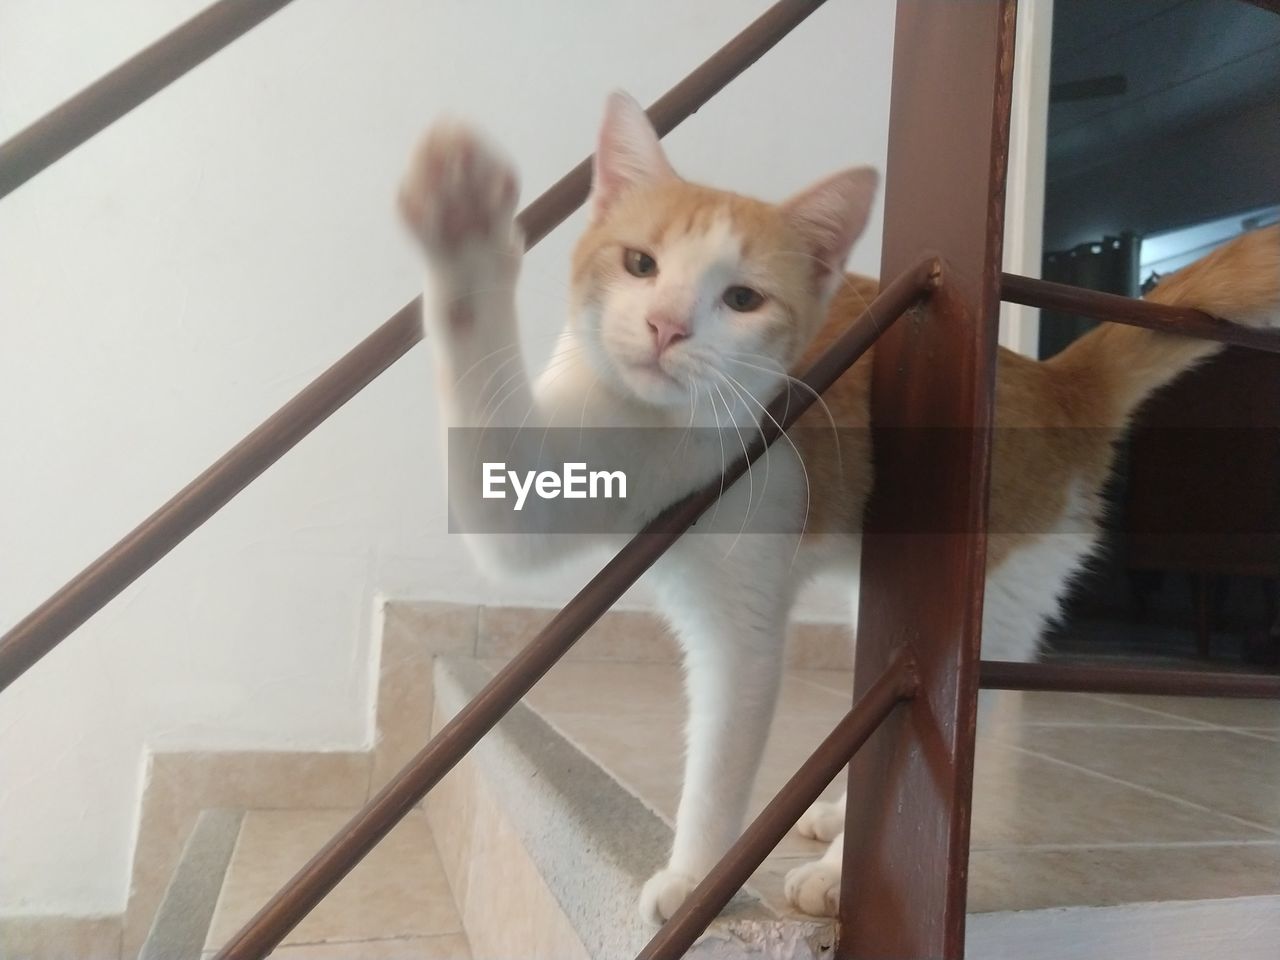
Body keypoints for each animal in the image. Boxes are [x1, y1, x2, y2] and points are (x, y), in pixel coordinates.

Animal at [396, 94, 1280, 926]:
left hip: (983, 590)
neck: (657, 428)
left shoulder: (743, 621)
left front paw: (695, 879)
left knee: (938, 716)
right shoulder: (539, 485)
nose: (666, 326)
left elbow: (720, 757)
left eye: (743, 299)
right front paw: (457, 226)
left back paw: (838, 869)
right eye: (639, 264)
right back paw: (836, 817)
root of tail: (1057, 385)